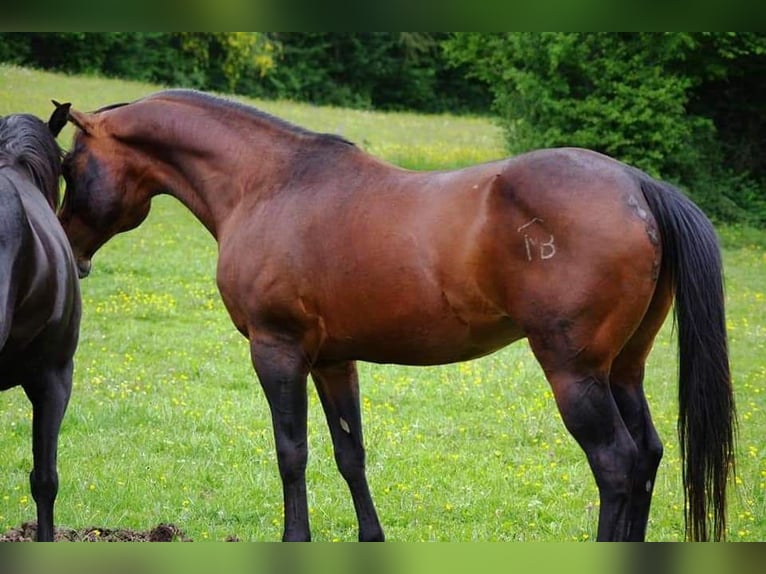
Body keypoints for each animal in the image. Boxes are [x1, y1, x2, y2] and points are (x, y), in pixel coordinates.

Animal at [55, 90, 735, 542]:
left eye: (69, 166)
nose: (71, 252)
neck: (269, 185)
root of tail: (638, 186)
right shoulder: (333, 361)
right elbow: (348, 453)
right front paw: (370, 538)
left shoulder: (277, 351)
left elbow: (291, 451)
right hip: (622, 369)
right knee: (646, 456)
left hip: (574, 372)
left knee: (617, 464)